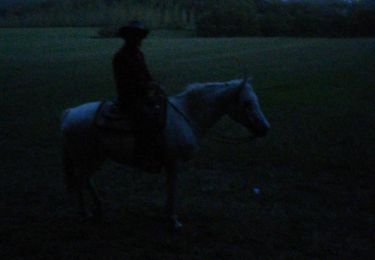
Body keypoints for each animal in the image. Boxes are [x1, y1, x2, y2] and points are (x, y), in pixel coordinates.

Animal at [61, 77, 270, 230]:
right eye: (247, 103)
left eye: (256, 100)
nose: (265, 128)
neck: (187, 114)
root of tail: (69, 113)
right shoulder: (173, 162)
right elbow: (173, 187)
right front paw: (173, 219)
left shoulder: (171, 163)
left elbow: (170, 187)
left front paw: (168, 215)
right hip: (87, 158)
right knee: (81, 180)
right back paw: (86, 212)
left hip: (96, 158)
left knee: (86, 180)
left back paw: (97, 207)